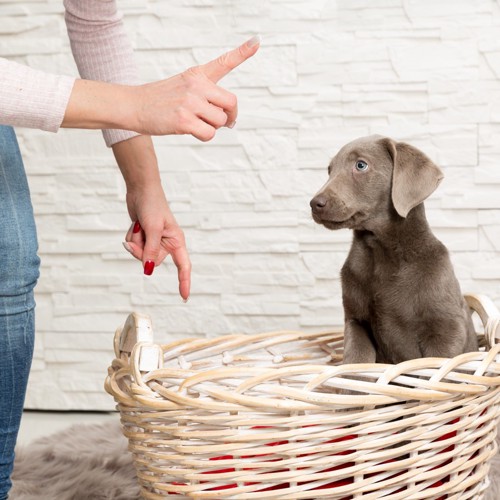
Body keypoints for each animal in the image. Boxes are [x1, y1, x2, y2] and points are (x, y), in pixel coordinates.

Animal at [308, 135, 476, 366]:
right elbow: (356, 359)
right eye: (329, 170)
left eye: (361, 165)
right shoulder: (355, 321)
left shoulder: (447, 327)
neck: (380, 252)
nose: (315, 203)